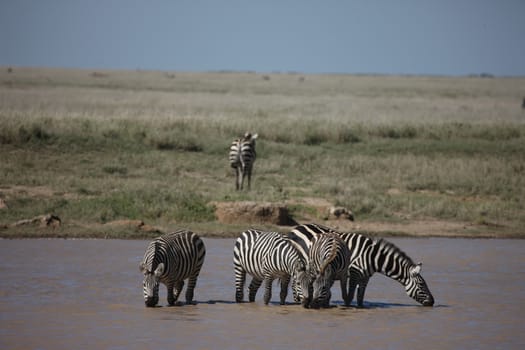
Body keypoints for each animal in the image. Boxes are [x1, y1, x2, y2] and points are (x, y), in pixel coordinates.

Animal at [288, 223, 432, 308]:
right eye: (422, 284)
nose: (432, 302)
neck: (372, 257)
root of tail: (295, 228)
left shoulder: (365, 277)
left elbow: (360, 296)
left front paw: (360, 308)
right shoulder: (354, 273)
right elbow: (351, 295)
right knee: (295, 282)